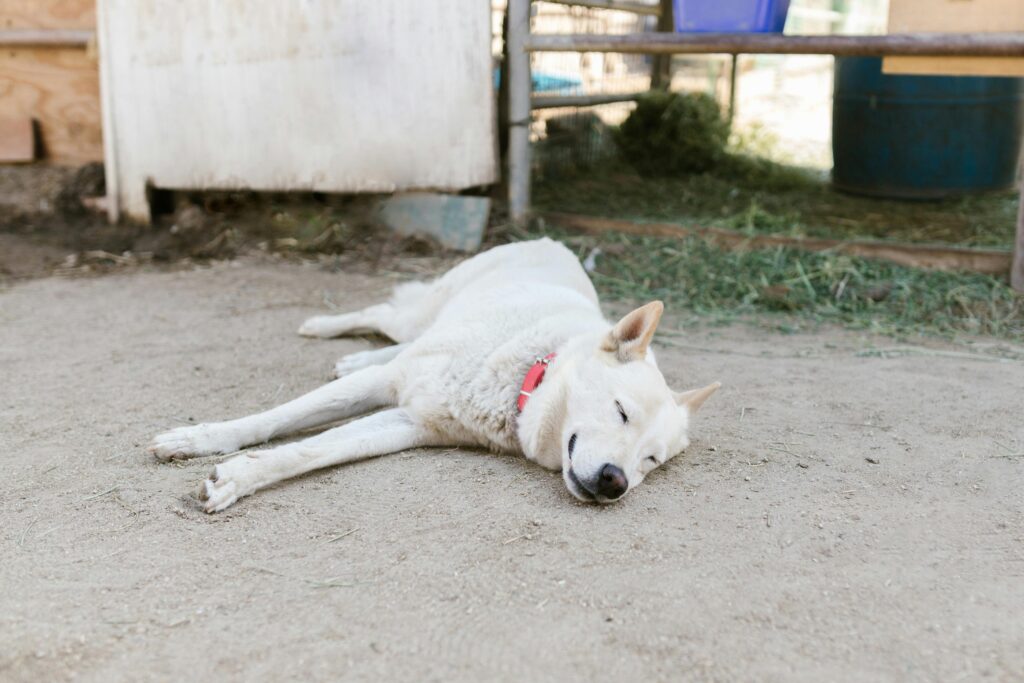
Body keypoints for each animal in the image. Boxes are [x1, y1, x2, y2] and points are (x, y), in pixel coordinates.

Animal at [149, 240, 720, 511]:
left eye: (650, 461)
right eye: (621, 412)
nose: (615, 483)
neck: (527, 373)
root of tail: (551, 241)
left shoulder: (410, 423)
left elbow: (311, 451)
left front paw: (239, 478)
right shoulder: (387, 390)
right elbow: (273, 420)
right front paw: (199, 440)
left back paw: (357, 356)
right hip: (421, 313)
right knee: (385, 312)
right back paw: (322, 327)